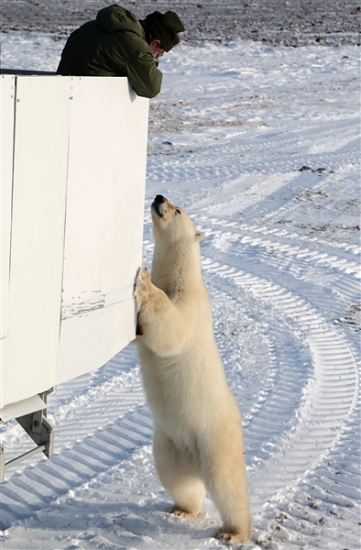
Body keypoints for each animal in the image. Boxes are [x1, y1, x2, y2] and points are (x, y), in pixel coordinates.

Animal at [133, 195, 250, 548]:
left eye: (178, 209)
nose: (158, 197)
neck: (178, 277)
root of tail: (192, 459)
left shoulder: (192, 303)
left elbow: (172, 327)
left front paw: (144, 279)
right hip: (169, 445)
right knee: (178, 480)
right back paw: (183, 510)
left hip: (214, 438)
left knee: (227, 484)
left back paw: (234, 531)